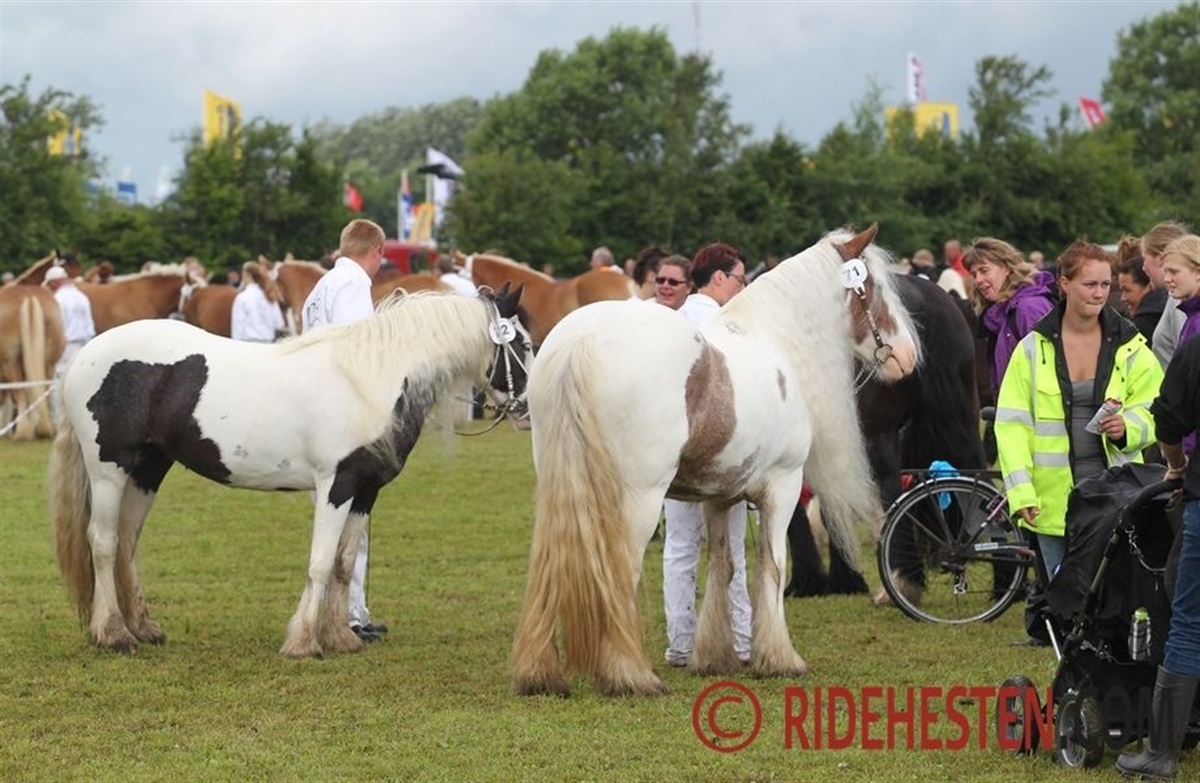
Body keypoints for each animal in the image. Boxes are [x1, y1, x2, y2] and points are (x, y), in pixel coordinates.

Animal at [0, 285, 65, 439]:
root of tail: (28, 295)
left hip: (10, 362)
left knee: (21, 392)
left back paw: (22, 433)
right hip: (49, 363)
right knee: (39, 391)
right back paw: (42, 430)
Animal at [50, 285, 533, 657]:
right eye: (524, 345)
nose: (527, 410)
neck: (368, 381)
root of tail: (85, 357)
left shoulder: (365, 491)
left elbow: (343, 565)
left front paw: (340, 638)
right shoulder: (335, 486)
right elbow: (320, 563)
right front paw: (303, 642)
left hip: (148, 468)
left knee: (128, 543)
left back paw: (143, 628)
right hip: (109, 470)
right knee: (104, 543)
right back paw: (113, 635)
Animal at [510, 224, 922, 697]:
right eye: (875, 289)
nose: (908, 356)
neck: (775, 340)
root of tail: (581, 341)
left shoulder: (719, 497)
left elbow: (723, 568)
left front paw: (714, 657)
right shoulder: (783, 489)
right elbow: (771, 566)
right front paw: (779, 660)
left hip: (561, 490)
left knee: (550, 568)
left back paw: (540, 674)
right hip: (637, 501)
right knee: (620, 574)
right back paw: (630, 675)